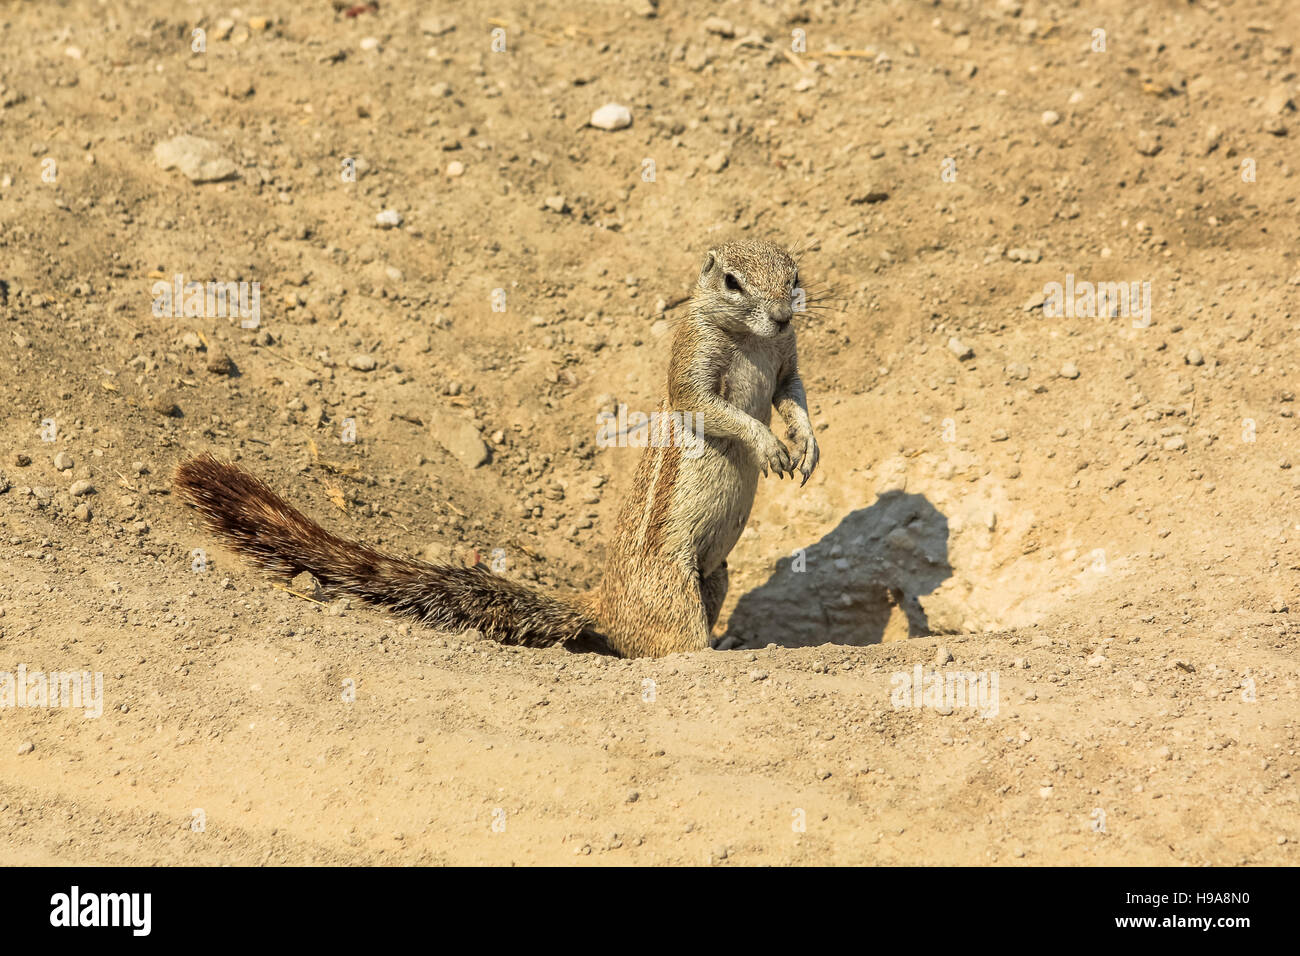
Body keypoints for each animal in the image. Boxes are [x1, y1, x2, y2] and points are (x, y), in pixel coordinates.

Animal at [176, 238, 816, 658]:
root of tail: (602, 602)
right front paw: (769, 443)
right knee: (669, 646)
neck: (754, 342)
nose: (784, 316)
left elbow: (794, 396)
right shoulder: (692, 366)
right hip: (671, 591)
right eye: (732, 282)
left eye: (794, 276)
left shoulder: (786, 364)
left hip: (717, 577)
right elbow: (709, 406)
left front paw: (806, 444)